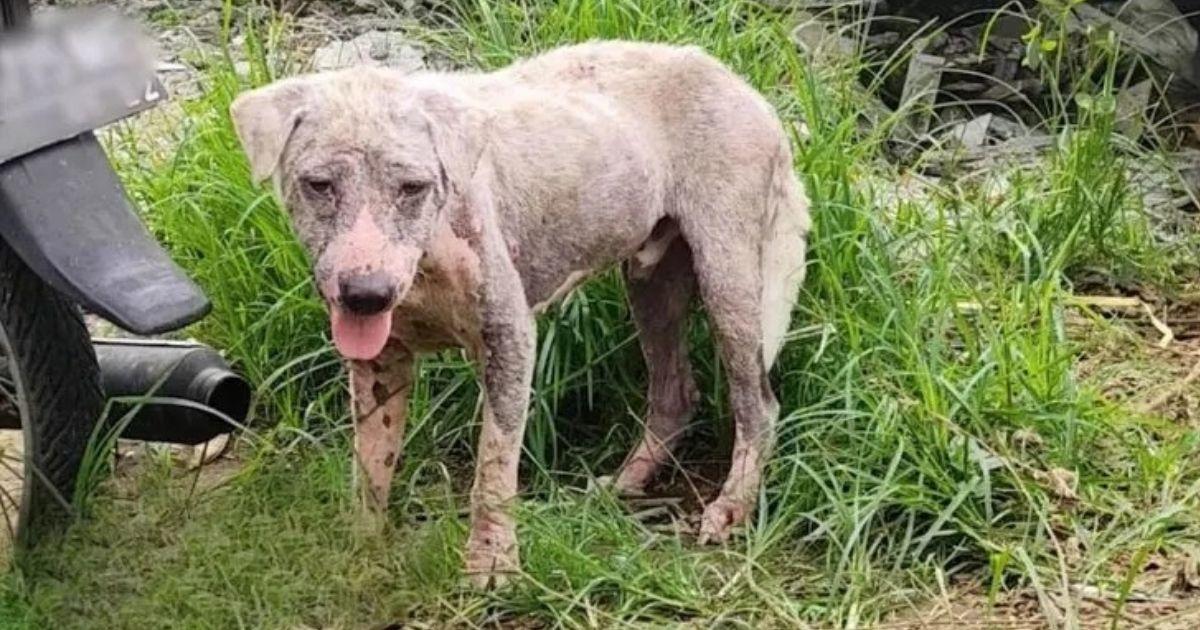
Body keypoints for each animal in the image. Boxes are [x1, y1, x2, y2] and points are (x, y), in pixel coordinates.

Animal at [229, 41, 811, 588]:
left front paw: (492, 564)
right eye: (319, 185)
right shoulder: (379, 362)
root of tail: (747, 91)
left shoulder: (509, 337)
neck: (428, 256)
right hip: (652, 279)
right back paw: (626, 482)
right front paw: (362, 551)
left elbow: (494, 465)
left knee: (757, 404)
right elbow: (370, 465)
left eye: (413, 187)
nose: (365, 294)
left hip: (729, 274)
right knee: (676, 395)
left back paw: (731, 507)